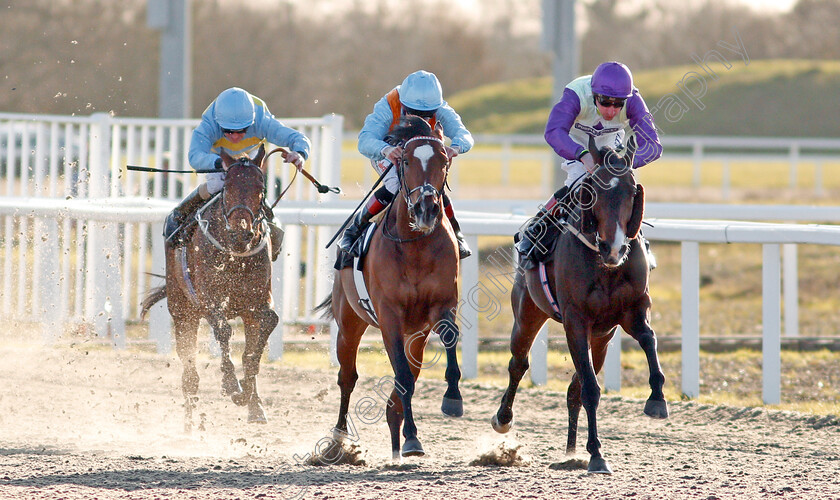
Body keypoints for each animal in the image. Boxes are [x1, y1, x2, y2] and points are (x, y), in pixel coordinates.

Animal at [141, 144, 278, 430]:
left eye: (261, 189)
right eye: (228, 187)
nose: (242, 233)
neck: (236, 255)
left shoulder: (257, 305)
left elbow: (261, 336)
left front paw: (250, 396)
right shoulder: (209, 300)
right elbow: (223, 331)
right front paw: (231, 384)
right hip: (183, 312)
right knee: (189, 371)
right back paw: (191, 423)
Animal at [316, 115, 462, 458]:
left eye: (444, 160)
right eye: (406, 160)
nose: (426, 209)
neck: (415, 246)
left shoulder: (442, 305)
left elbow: (442, 346)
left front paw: (452, 400)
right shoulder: (389, 316)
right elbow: (403, 376)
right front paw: (412, 436)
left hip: (416, 334)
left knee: (407, 374)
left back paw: (395, 439)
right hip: (349, 324)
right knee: (348, 377)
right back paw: (339, 440)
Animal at [488, 136, 668, 472]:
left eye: (631, 191)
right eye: (595, 189)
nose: (613, 247)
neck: (605, 266)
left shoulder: (634, 310)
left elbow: (649, 340)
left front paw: (657, 399)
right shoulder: (576, 321)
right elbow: (591, 390)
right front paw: (597, 454)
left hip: (601, 338)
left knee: (575, 388)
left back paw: (571, 451)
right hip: (528, 313)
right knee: (519, 363)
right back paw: (503, 418)